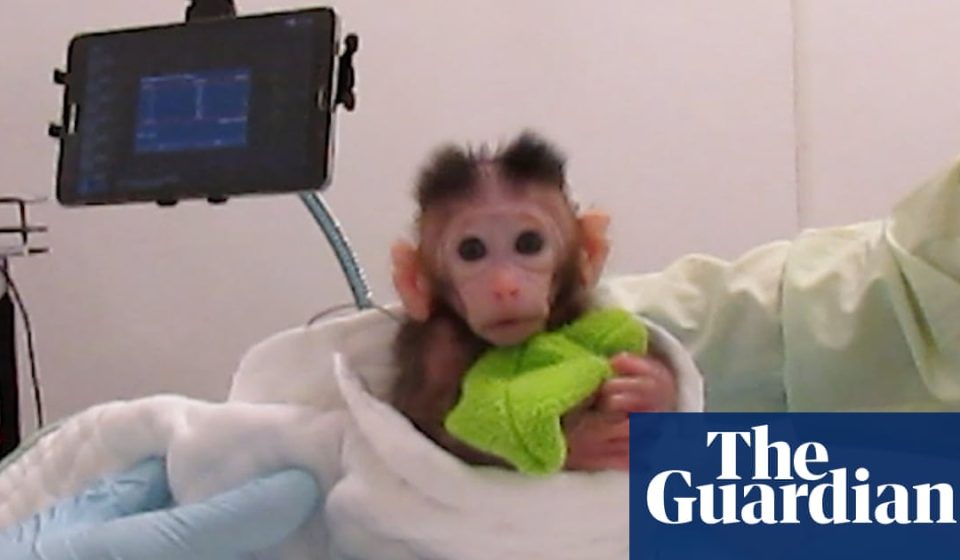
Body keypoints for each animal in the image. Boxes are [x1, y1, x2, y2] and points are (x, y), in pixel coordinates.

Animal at [389, 132, 675, 470]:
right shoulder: (437, 343)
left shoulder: (583, 308)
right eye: (471, 250)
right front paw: (582, 443)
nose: (504, 287)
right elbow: (429, 428)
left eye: (529, 243)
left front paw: (652, 387)